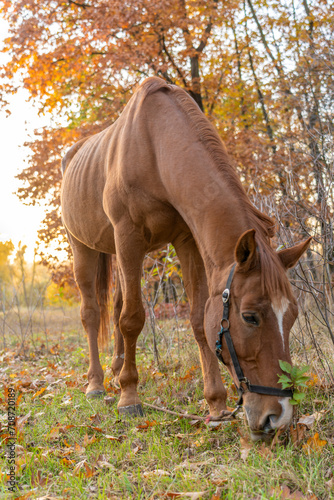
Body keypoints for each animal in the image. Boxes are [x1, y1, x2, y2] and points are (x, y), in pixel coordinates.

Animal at [61, 77, 312, 442]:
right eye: (250, 317)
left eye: (291, 316)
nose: (277, 417)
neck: (155, 145)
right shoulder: (128, 237)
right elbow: (132, 318)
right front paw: (129, 397)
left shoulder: (186, 241)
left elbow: (196, 319)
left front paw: (217, 404)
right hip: (83, 248)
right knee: (92, 313)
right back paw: (97, 384)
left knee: (118, 302)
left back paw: (117, 369)